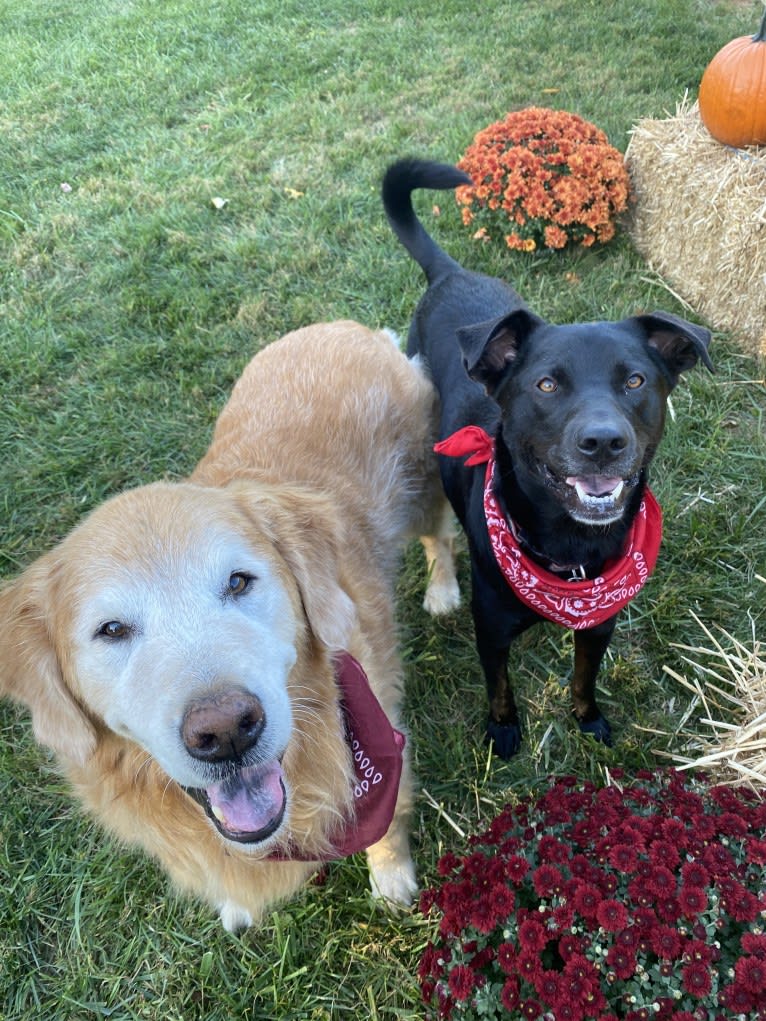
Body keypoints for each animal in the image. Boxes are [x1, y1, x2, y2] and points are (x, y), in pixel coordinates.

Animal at [384, 159, 714, 759]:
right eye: (546, 384)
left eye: (635, 380)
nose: (604, 442)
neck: (570, 548)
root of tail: (451, 274)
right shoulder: (491, 630)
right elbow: (500, 688)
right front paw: (503, 731)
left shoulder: (600, 622)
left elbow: (584, 676)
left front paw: (589, 719)